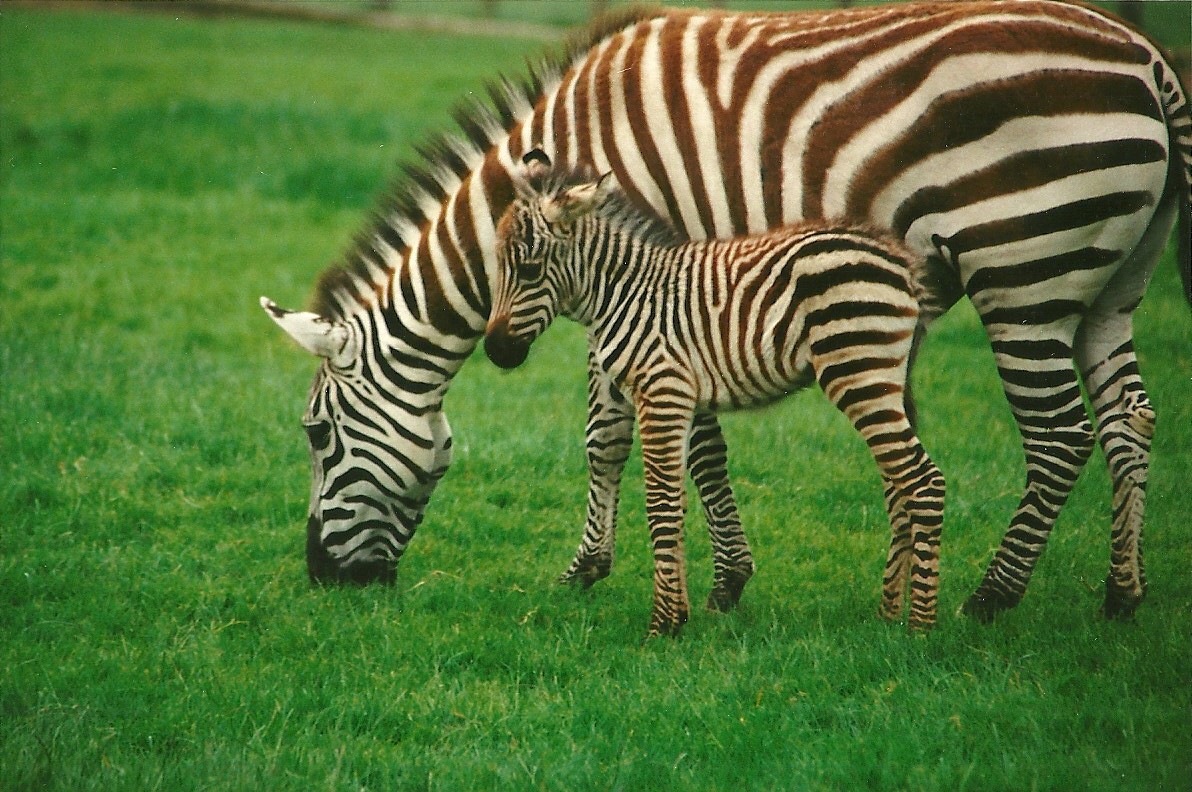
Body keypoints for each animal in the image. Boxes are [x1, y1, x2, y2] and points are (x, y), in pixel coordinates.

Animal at [485, 154, 945, 635]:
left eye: (530, 269)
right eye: (497, 263)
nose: (495, 351)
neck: (623, 293)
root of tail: (901, 262)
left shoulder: (662, 392)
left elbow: (660, 504)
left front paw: (663, 624)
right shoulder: (672, 397)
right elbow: (670, 495)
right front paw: (678, 613)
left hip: (858, 371)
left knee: (924, 483)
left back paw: (920, 626)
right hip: (883, 381)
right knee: (899, 486)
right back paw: (887, 615)